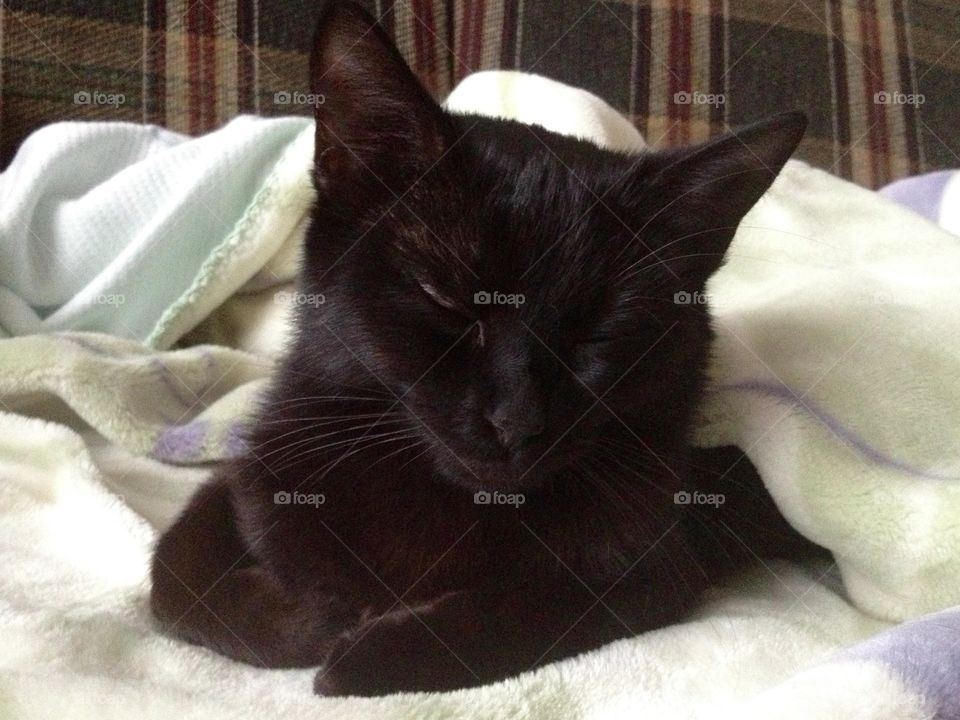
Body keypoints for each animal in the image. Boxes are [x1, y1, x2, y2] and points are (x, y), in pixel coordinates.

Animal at [150, 0, 816, 696]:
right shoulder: (248, 476)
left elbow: (516, 617)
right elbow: (173, 573)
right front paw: (311, 615)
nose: (516, 420)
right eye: (444, 298)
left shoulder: (651, 566)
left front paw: (367, 649)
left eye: (599, 329)